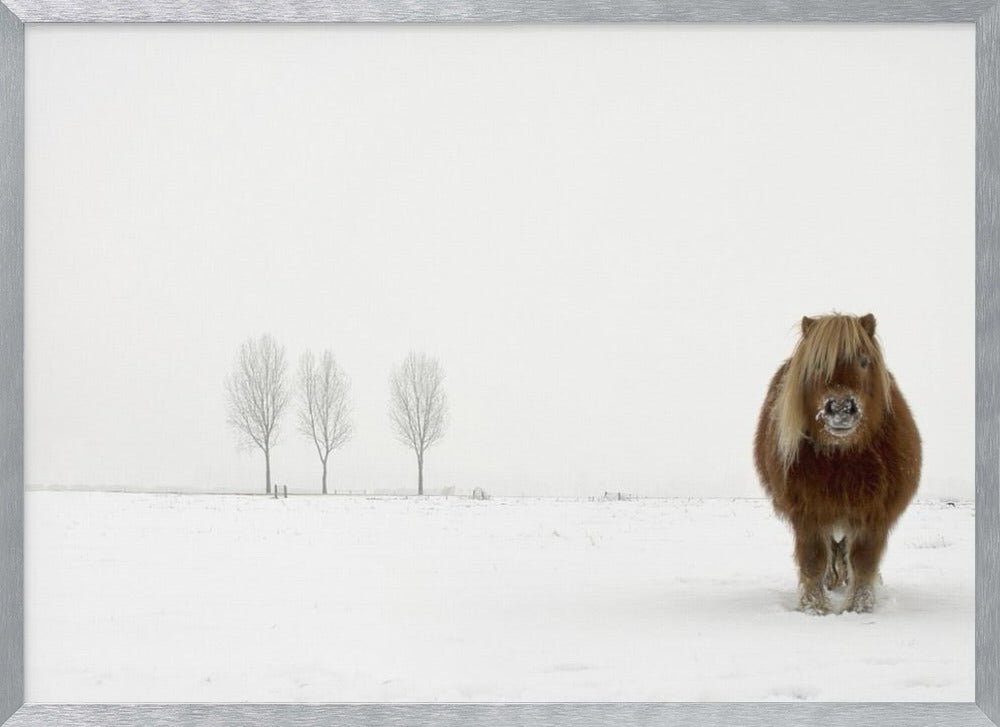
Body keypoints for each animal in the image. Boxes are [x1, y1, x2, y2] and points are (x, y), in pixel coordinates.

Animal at [754, 313, 921, 614]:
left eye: (864, 361)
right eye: (818, 364)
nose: (841, 408)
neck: (843, 457)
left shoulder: (873, 514)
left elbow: (864, 561)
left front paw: (860, 607)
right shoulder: (808, 513)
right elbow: (813, 560)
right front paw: (813, 607)